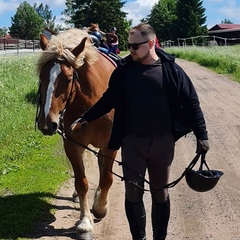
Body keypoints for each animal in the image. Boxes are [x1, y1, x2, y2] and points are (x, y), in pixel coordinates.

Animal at [35, 28, 117, 240]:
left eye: (69, 78)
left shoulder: (110, 144)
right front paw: (85, 223)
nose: (46, 123)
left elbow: (107, 178)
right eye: (42, 77)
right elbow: (82, 183)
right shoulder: (72, 145)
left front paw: (100, 207)